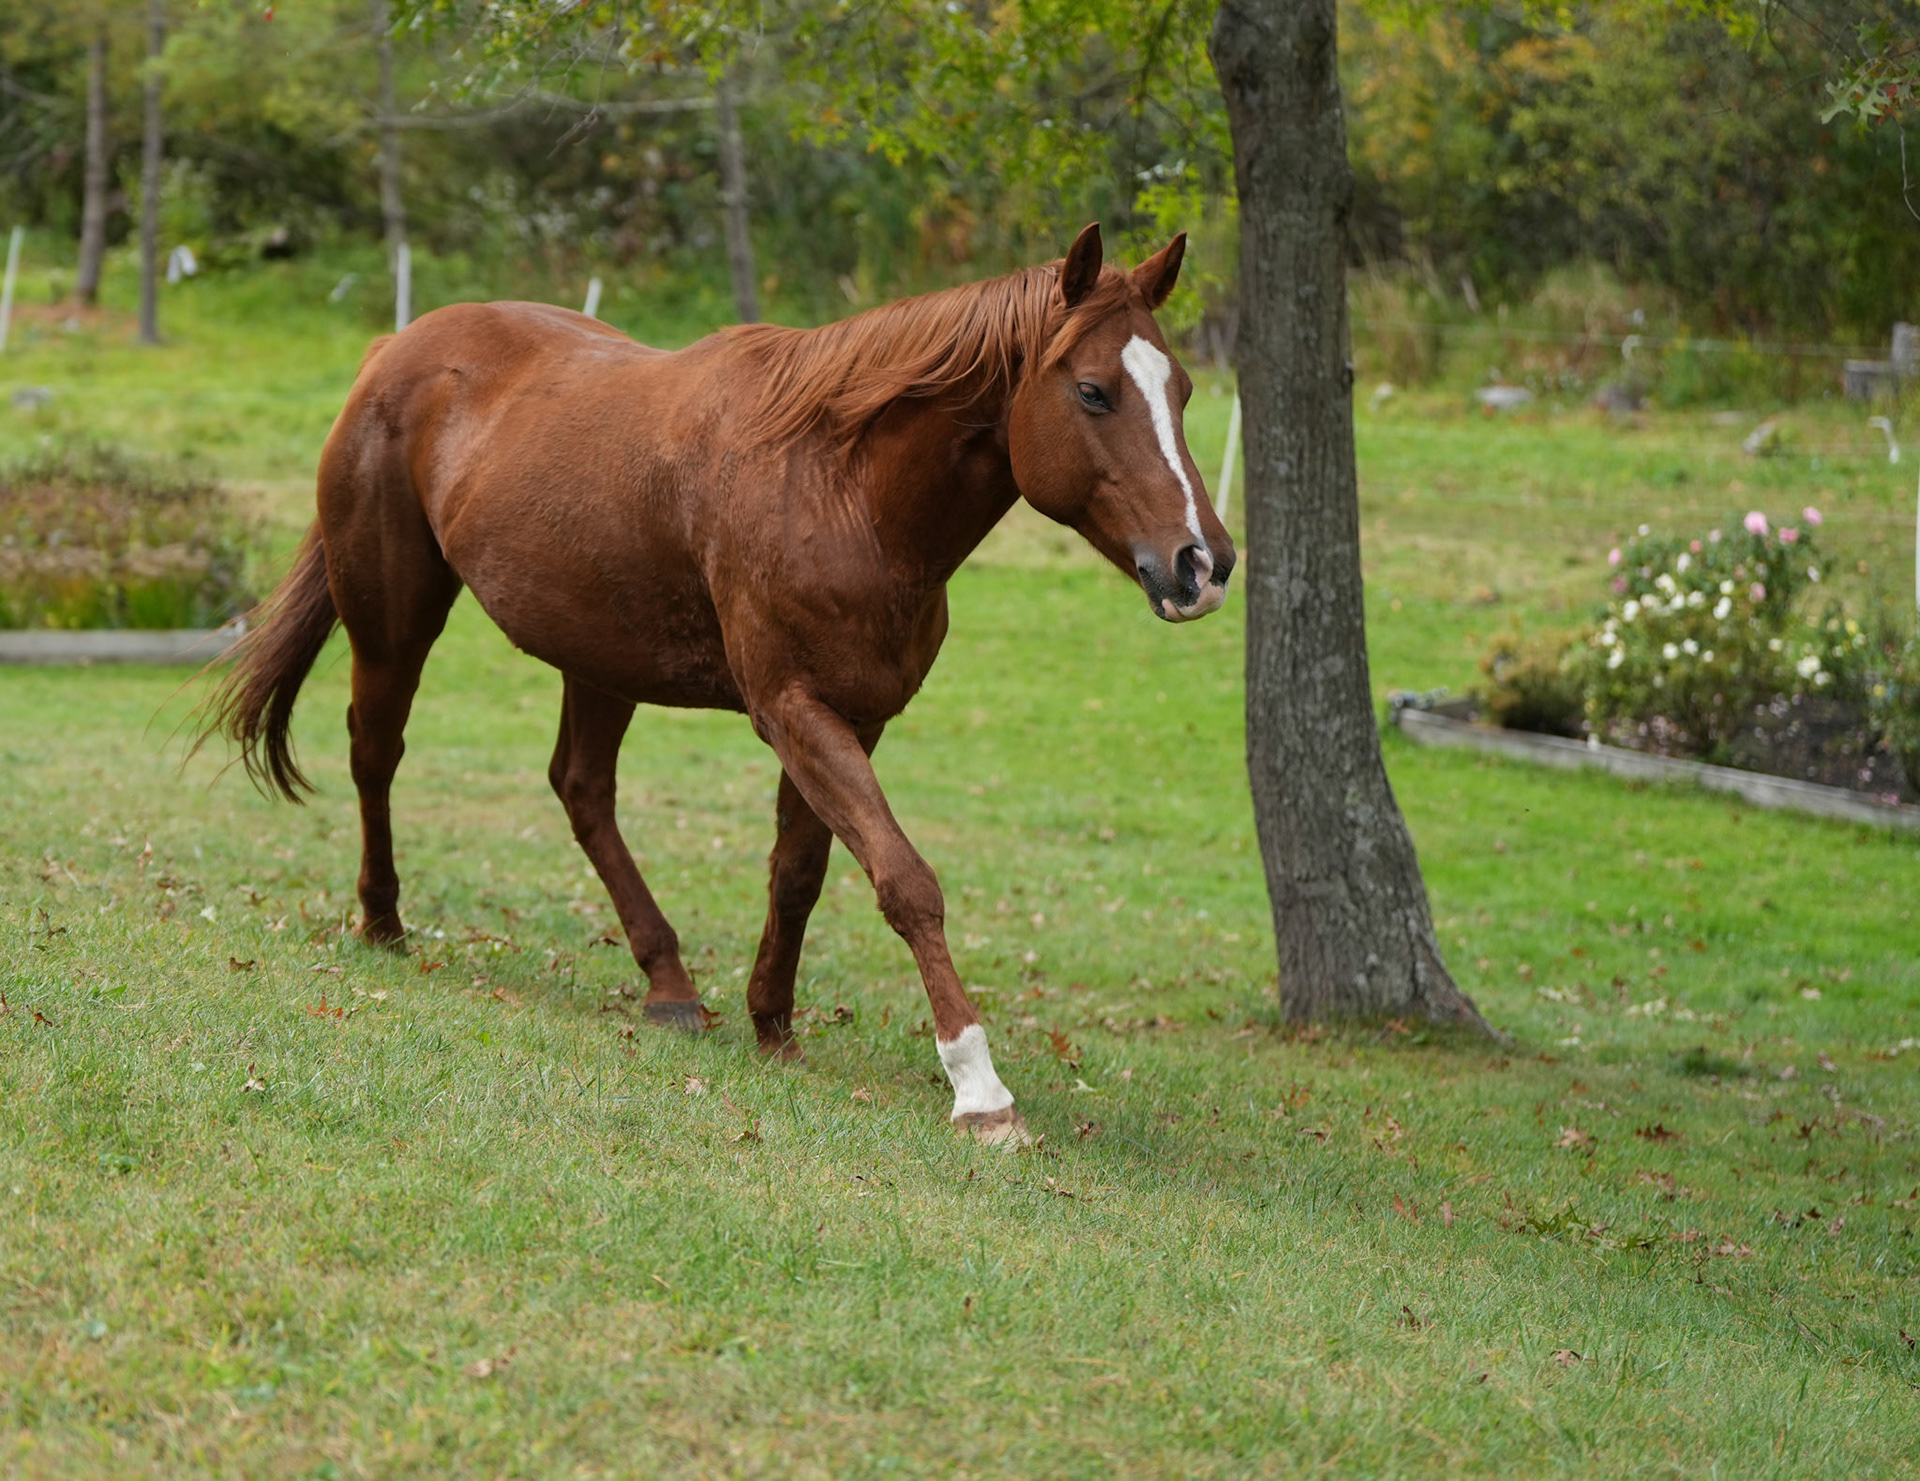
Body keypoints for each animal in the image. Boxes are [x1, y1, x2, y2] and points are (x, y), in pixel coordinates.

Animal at [199, 222, 1234, 1144]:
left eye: (1182, 389)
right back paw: (384, 919)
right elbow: (904, 880)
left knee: (582, 790)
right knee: (377, 748)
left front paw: (771, 1019)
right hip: (395, 617)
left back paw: (668, 982)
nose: (1203, 562)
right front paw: (980, 1088)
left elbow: (803, 871)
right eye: (1094, 391)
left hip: (598, 658)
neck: (841, 484)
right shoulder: (794, 711)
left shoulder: (851, 717)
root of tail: (396, 348)